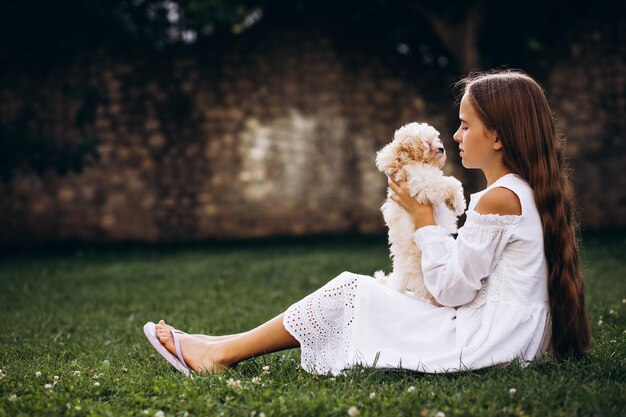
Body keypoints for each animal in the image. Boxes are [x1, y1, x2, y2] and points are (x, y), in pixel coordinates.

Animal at [370, 122, 464, 304]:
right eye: (427, 143)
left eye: (436, 140)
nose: (442, 148)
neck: (405, 159)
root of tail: (400, 276)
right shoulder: (423, 182)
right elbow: (448, 183)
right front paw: (458, 203)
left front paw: (453, 203)